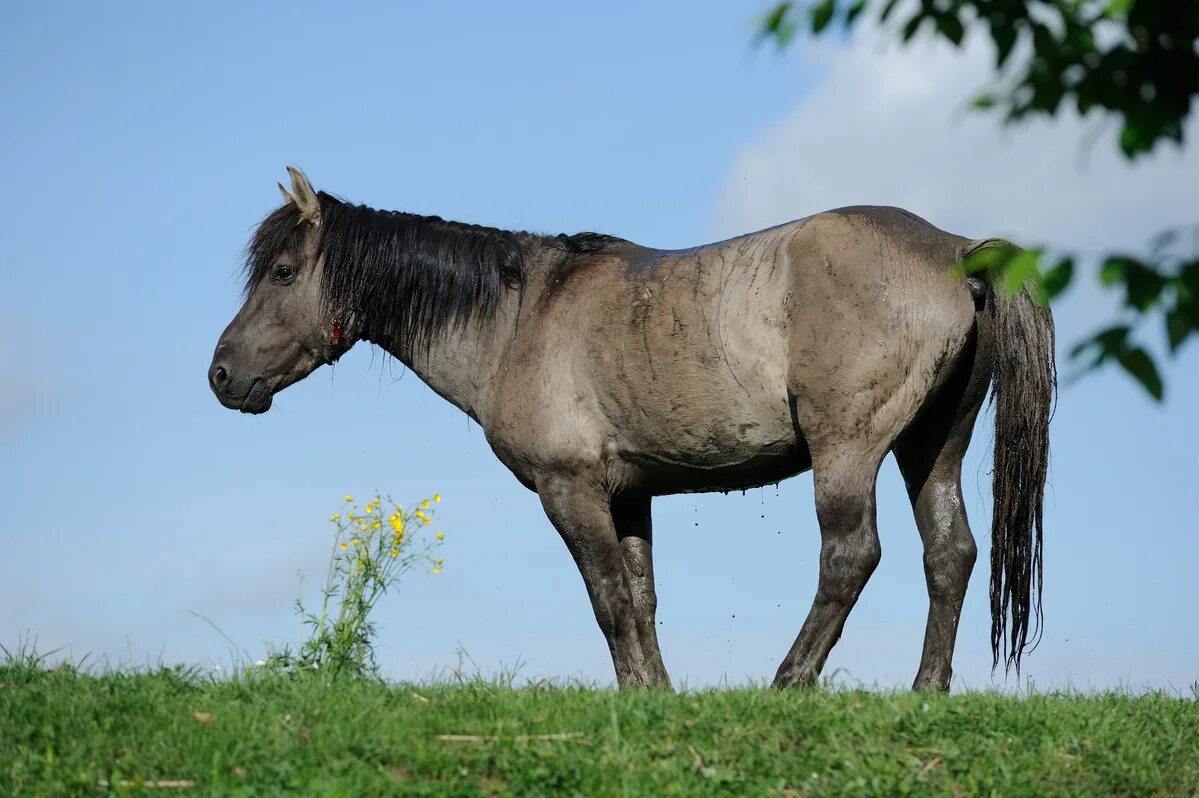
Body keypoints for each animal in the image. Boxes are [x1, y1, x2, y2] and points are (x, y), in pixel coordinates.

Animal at [211, 167, 1055, 690]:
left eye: (282, 273)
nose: (221, 375)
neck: (518, 317)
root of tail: (955, 250)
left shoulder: (571, 490)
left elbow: (608, 597)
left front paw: (637, 694)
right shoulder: (629, 494)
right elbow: (641, 598)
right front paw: (655, 694)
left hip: (846, 450)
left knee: (850, 556)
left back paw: (788, 681)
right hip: (931, 445)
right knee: (949, 554)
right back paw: (925, 689)